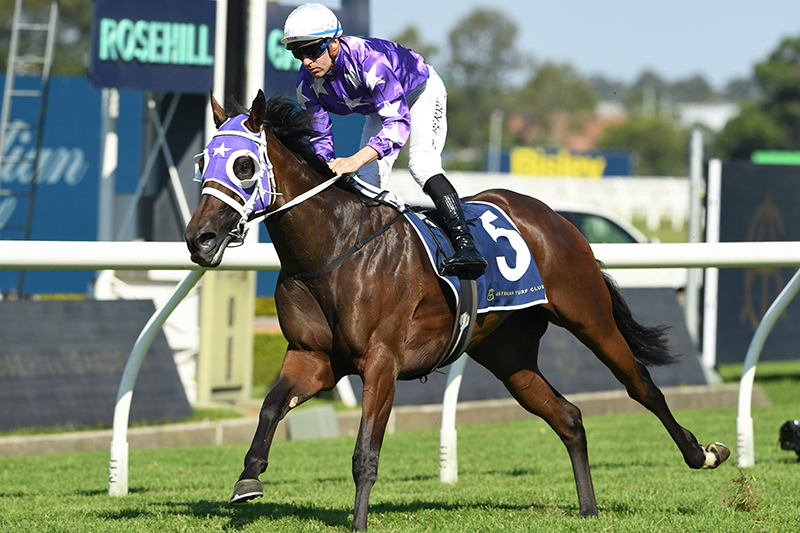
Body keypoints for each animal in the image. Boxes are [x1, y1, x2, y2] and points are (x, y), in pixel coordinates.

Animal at [184, 90, 730, 531]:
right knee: (569, 416)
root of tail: (553, 216)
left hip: (588, 316)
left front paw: (358, 524)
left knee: (642, 384)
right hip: (509, 354)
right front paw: (247, 479)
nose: (199, 238)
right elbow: (270, 406)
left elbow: (365, 453)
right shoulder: (312, 357)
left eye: (244, 165)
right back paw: (589, 509)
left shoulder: (381, 361)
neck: (333, 250)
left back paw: (702, 453)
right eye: (202, 162)